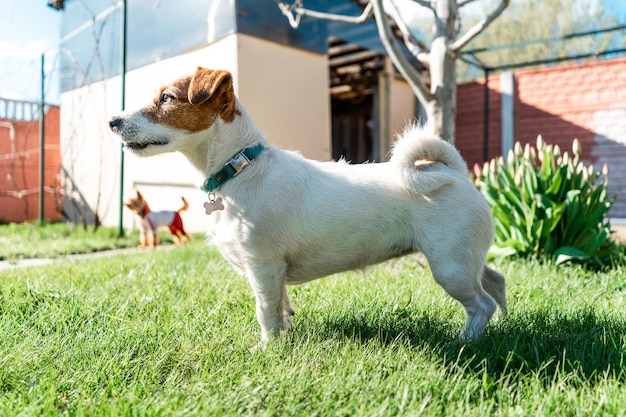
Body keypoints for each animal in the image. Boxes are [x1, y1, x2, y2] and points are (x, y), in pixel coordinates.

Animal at [108, 66, 508, 346]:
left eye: (167, 98)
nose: (112, 121)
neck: (241, 169)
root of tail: (453, 172)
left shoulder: (263, 267)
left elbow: (265, 312)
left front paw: (267, 349)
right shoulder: (273, 273)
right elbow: (281, 307)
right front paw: (283, 335)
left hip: (449, 266)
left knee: (481, 303)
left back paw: (464, 343)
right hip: (466, 259)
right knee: (495, 282)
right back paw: (504, 324)